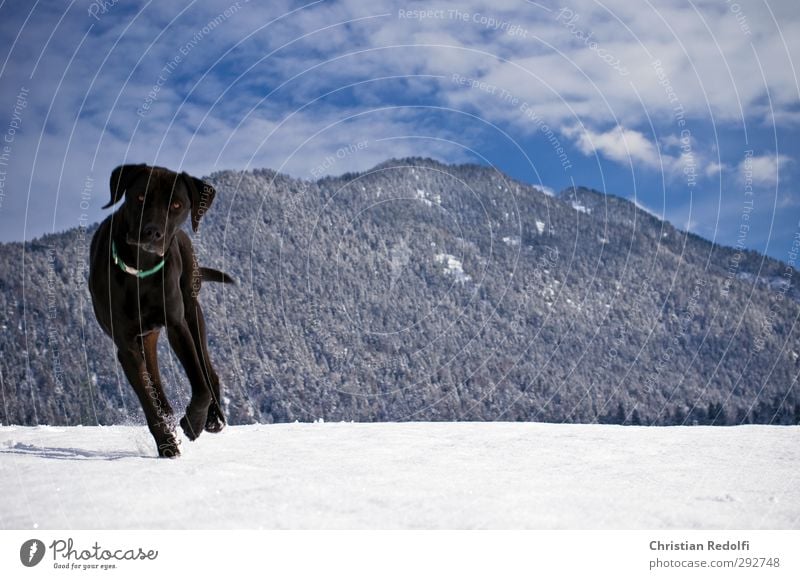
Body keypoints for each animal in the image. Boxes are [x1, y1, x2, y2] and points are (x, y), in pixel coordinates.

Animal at [92, 163, 234, 458]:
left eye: (177, 205)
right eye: (140, 197)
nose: (152, 233)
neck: (141, 269)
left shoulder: (177, 325)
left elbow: (200, 385)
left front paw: (193, 423)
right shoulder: (126, 345)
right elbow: (149, 401)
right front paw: (167, 445)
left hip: (193, 311)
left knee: (208, 371)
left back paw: (213, 419)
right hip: (146, 338)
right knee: (156, 386)